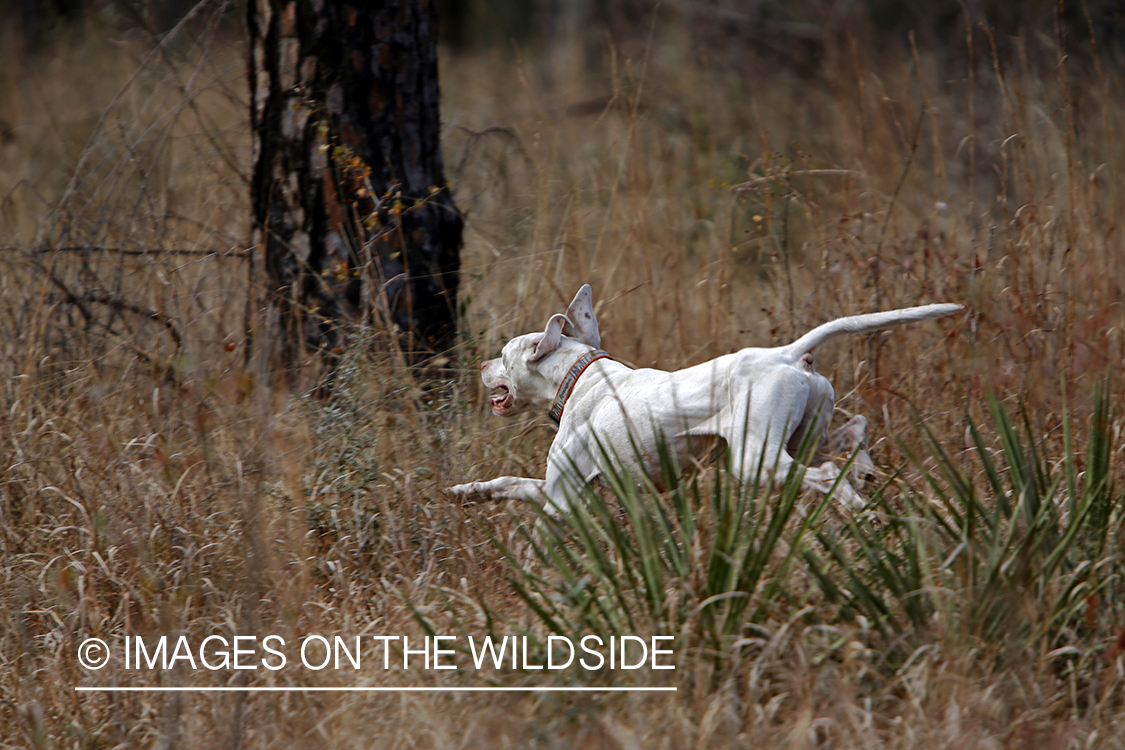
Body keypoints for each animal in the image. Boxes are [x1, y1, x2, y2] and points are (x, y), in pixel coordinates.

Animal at [447, 284, 958, 512]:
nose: (480, 366)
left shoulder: (563, 497)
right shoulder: (559, 488)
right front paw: (468, 491)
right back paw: (865, 479)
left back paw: (853, 504)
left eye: (503, 354)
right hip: (807, 435)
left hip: (755, 458)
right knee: (855, 434)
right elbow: (509, 482)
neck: (580, 377)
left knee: (828, 473)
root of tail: (789, 354)